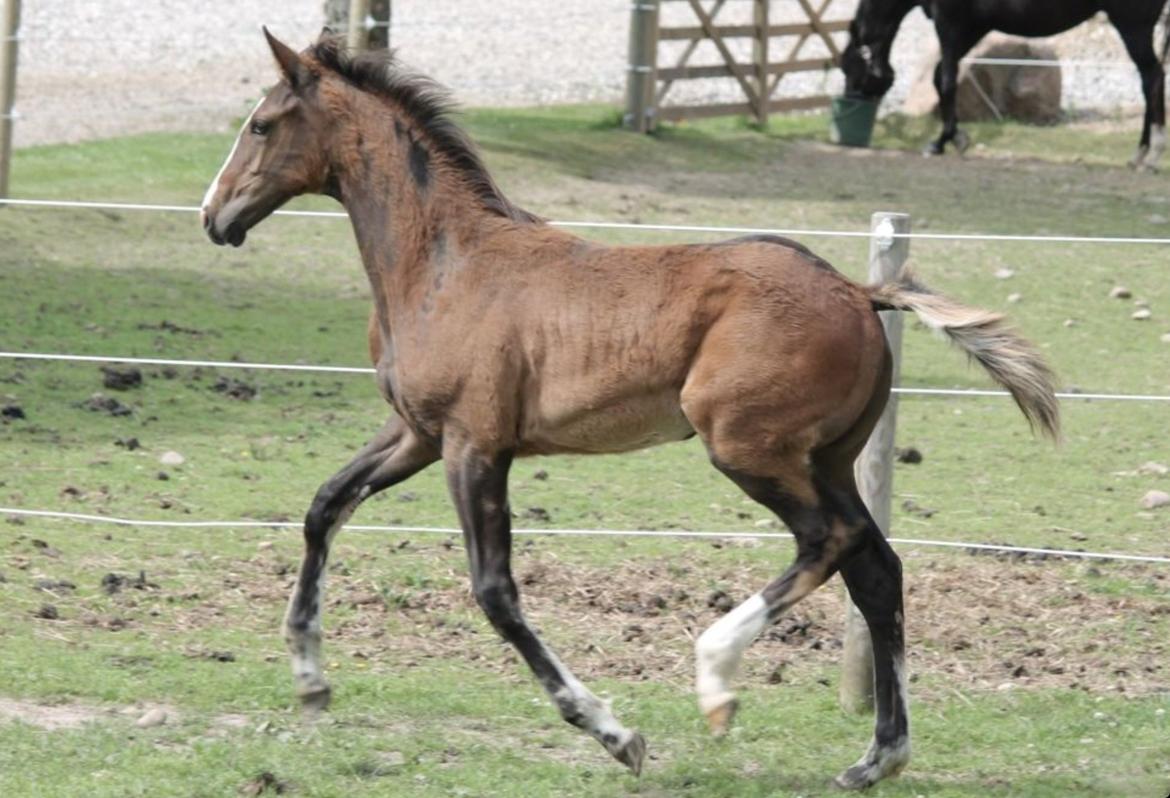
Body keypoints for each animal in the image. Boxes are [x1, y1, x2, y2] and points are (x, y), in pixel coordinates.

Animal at [203, 32, 1062, 790]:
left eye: (261, 123)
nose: (214, 215)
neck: (444, 264)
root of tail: (859, 289)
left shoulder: (475, 445)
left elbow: (495, 591)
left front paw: (615, 733)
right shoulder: (417, 433)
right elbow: (324, 507)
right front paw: (310, 681)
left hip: (746, 447)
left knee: (831, 539)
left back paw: (717, 680)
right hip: (826, 457)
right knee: (876, 569)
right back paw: (876, 759)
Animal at [842, 1, 1170, 169]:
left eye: (849, 68)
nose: (850, 108)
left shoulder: (950, 24)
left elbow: (945, 80)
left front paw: (942, 141)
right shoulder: (971, 28)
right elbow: (941, 77)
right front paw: (955, 137)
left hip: (1132, 26)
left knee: (1153, 77)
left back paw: (1153, 152)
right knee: (1148, 81)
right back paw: (1140, 153)